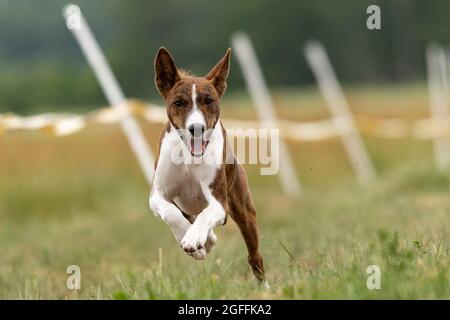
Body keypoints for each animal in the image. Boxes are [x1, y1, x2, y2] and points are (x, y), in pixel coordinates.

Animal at [149, 47, 266, 280]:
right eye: (178, 102)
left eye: (208, 100)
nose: (197, 128)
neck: (188, 157)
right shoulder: (157, 195)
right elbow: (171, 213)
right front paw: (192, 240)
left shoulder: (220, 202)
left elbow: (205, 215)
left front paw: (195, 239)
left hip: (244, 211)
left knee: (255, 257)